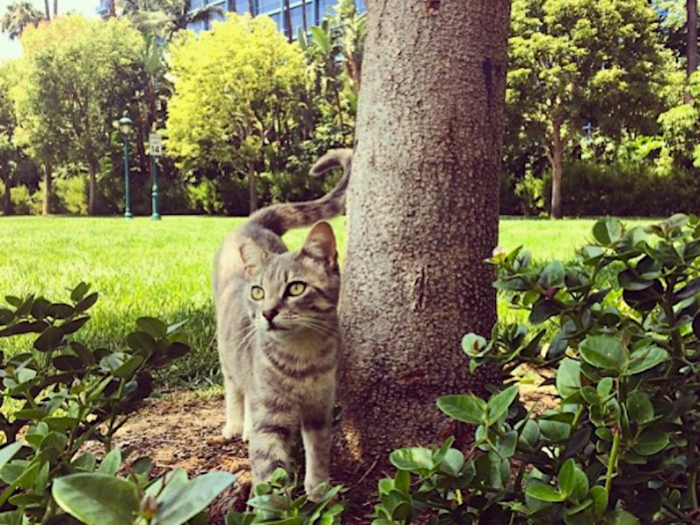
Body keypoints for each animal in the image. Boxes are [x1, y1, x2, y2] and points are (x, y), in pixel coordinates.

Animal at [213, 148, 352, 500]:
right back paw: (235, 425)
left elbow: (318, 455)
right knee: (235, 388)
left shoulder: (320, 411)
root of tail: (252, 224)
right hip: (227, 353)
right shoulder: (270, 421)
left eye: (296, 288)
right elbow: (270, 472)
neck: (302, 359)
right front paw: (273, 506)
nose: (267, 313)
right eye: (258, 292)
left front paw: (319, 494)